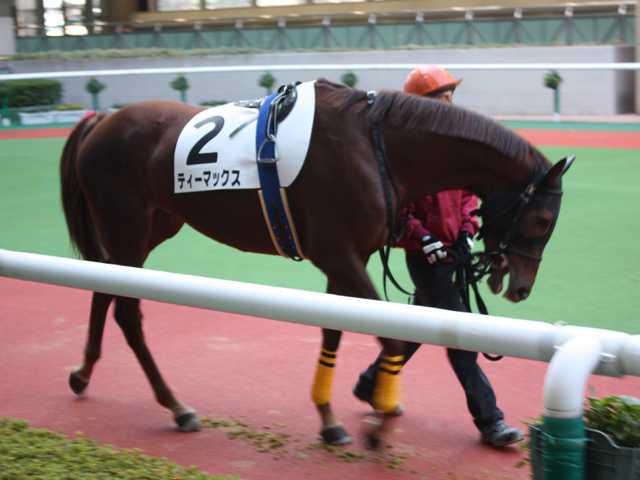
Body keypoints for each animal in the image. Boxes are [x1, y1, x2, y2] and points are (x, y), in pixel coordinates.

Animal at [60, 78, 572, 448]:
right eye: (543, 218)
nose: (520, 286)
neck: (377, 146)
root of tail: (101, 121)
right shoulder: (339, 255)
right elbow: (389, 334)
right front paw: (378, 424)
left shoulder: (348, 257)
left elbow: (334, 329)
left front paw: (330, 420)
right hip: (126, 227)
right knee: (128, 312)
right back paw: (176, 407)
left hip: (153, 227)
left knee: (103, 287)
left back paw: (83, 373)